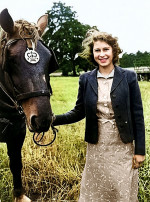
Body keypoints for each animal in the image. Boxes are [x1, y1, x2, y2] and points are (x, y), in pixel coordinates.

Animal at [0, 8, 58, 201]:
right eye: (10, 60)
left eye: (49, 60)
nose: (42, 120)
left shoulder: (17, 134)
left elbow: (16, 163)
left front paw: (19, 195)